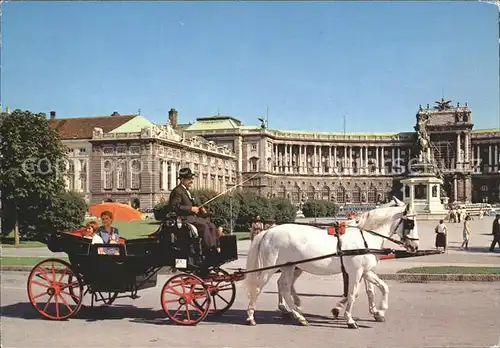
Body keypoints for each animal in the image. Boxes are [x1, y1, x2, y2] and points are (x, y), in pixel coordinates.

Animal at [244, 201, 420, 328]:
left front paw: (380, 310)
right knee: (259, 287)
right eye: (411, 223)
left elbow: (382, 288)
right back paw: (251, 316)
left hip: (289, 266)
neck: (365, 238)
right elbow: (352, 294)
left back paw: (298, 315)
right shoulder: (356, 272)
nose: (415, 247)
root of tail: (268, 231)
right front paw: (349, 319)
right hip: (271, 267)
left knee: (284, 287)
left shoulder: (366, 271)